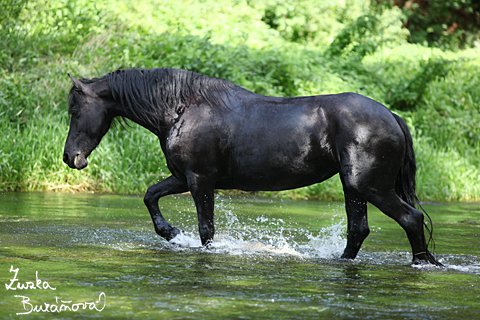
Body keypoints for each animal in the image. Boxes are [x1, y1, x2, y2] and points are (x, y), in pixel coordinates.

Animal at [63, 67, 442, 264]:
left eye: (76, 110)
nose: (70, 157)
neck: (183, 109)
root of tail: (391, 116)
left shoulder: (200, 181)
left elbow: (206, 230)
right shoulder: (182, 178)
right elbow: (150, 195)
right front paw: (170, 232)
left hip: (371, 187)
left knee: (411, 218)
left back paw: (422, 263)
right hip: (353, 188)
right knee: (358, 230)